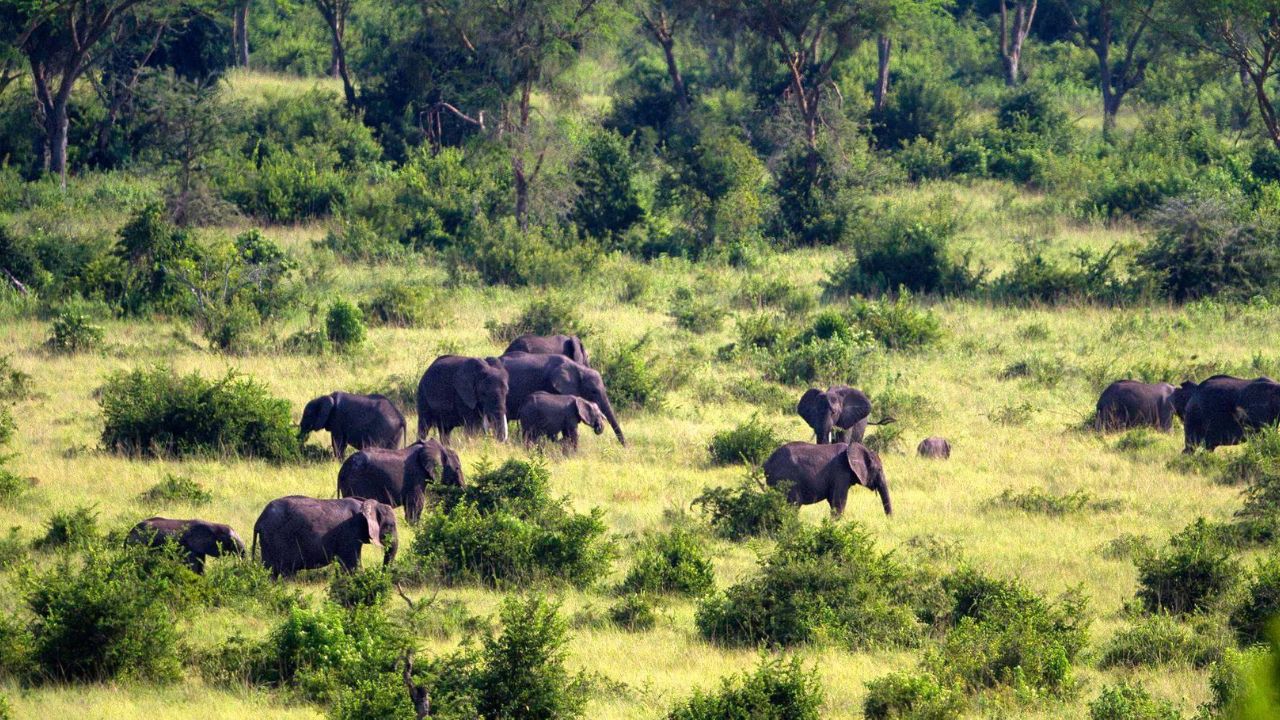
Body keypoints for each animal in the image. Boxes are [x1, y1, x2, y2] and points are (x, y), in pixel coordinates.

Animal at [252, 496, 397, 578]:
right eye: (390, 526)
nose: (382, 575)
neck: (365, 504)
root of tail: (259, 520)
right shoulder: (350, 532)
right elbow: (352, 565)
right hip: (275, 538)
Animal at [762, 441, 892, 516]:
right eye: (879, 469)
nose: (888, 520)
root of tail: (767, 462)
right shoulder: (841, 472)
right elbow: (838, 503)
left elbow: (833, 501)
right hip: (786, 479)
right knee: (792, 506)